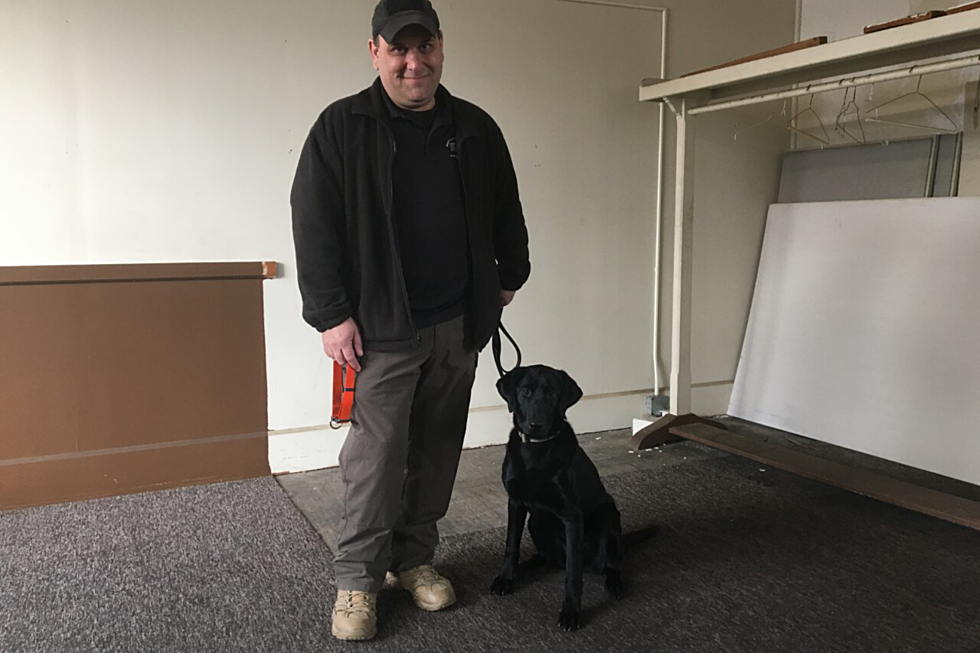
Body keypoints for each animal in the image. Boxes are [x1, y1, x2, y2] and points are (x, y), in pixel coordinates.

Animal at [490, 364, 660, 628]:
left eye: (552, 394)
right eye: (525, 391)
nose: (536, 425)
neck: (536, 450)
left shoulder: (572, 516)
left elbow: (572, 572)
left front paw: (571, 611)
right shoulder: (516, 503)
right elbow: (511, 546)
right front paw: (506, 578)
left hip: (607, 515)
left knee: (611, 562)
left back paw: (615, 582)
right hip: (536, 522)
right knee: (550, 558)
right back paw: (526, 567)